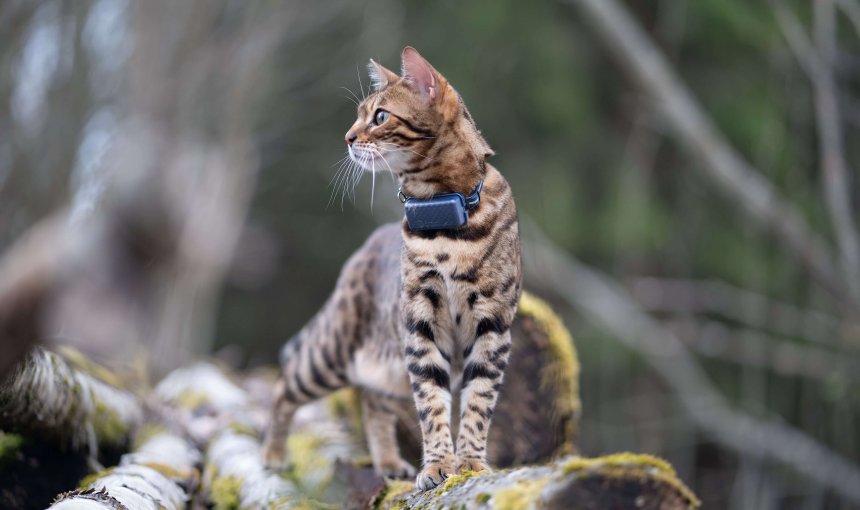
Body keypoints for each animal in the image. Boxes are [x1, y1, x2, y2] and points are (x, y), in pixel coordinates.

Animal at [262, 47, 520, 490]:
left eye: (380, 116)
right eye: (359, 115)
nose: (347, 137)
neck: (443, 218)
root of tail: (361, 251)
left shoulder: (493, 325)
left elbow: (478, 402)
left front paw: (470, 462)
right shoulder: (420, 322)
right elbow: (432, 404)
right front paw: (437, 466)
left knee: (373, 402)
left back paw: (387, 462)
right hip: (331, 350)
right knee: (283, 387)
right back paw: (273, 454)